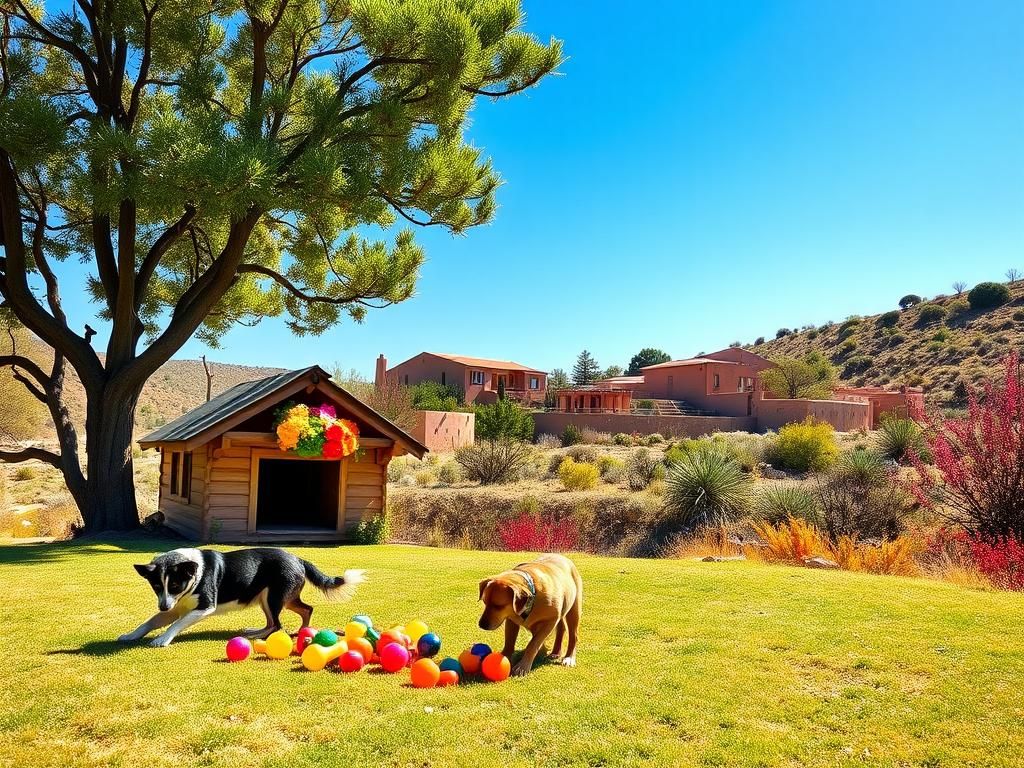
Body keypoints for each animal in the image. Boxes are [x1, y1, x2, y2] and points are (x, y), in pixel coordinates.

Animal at [118, 548, 364, 651]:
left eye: (175, 585)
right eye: (157, 586)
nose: (163, 605)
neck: (194, 572)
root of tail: (298, 558)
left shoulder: (204, 607)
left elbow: (176, 624)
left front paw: (162, 640)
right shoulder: (176, 608)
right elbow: (149, 622)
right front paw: (130, 635)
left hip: (274, 597)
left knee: (277, 624)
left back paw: (258, 635)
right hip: (273, 597)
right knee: (304, 610)